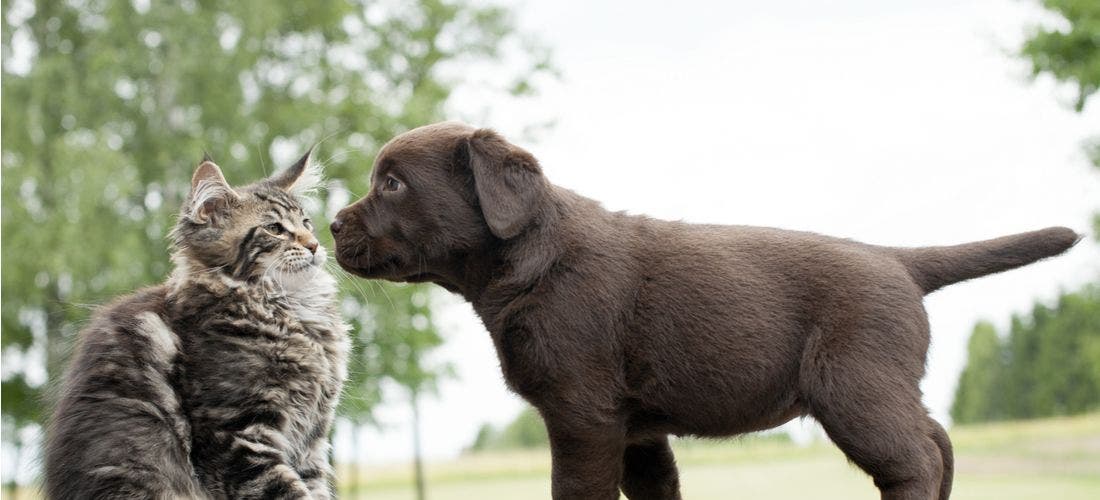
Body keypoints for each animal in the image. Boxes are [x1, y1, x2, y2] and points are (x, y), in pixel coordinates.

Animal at [45, 152, 347, 500]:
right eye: (274, 229)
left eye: (306, 223)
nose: (314, 245)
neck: (290, 309)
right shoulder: (236, 436)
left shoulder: (312, 440)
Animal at [327, 122, 1082, 500]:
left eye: (392, 185)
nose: (331, 226)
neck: (530, 258)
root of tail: (898, 260)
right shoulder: (635, 428)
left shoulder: (581, 414)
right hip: (881, 385)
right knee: (938, 441)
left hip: (854, 387)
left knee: (916, 457)